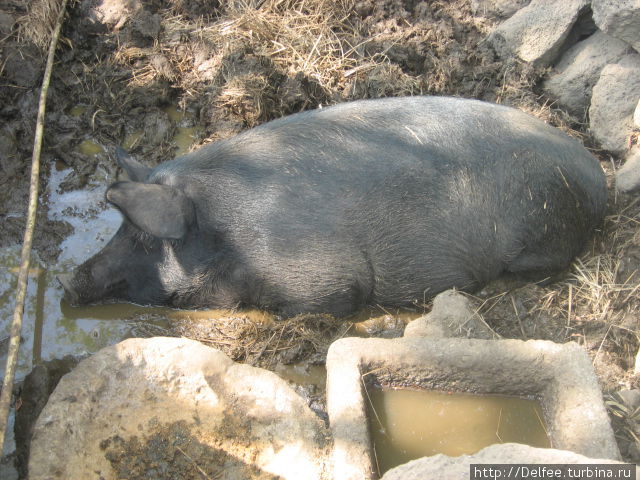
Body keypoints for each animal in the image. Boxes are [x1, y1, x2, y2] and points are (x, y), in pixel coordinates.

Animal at [57, 96, 608, 316]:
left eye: (142, 235)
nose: (69, 281)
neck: (227, 235)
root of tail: (598, 176)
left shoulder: (324, 278)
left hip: (541, 229)